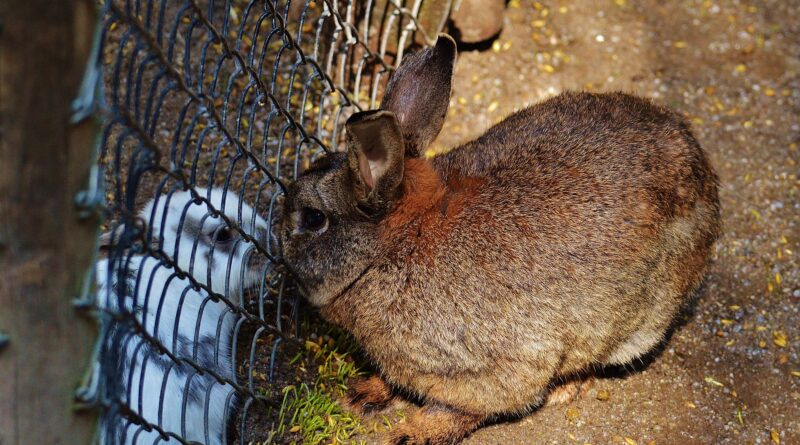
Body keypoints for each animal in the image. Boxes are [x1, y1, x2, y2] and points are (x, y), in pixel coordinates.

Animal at [276, 35, 720, 444]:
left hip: (638, 319)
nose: (280, 249)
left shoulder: (493, 368)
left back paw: (565, 389)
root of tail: (703, 171)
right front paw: (364, 393)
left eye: (313, 219)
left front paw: (412, 434)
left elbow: (464, 408)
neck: (395, 242)